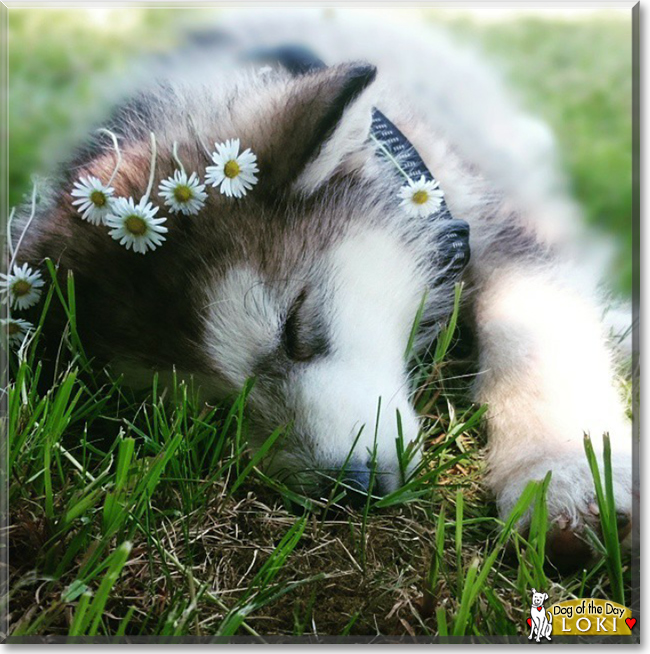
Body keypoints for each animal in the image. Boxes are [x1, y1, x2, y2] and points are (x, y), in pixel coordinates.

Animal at [8, 7, 628, 568]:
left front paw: (562, 476)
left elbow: (535, 330)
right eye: (205, 412)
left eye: (297, 326)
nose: (351, 489)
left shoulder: (499, 230)